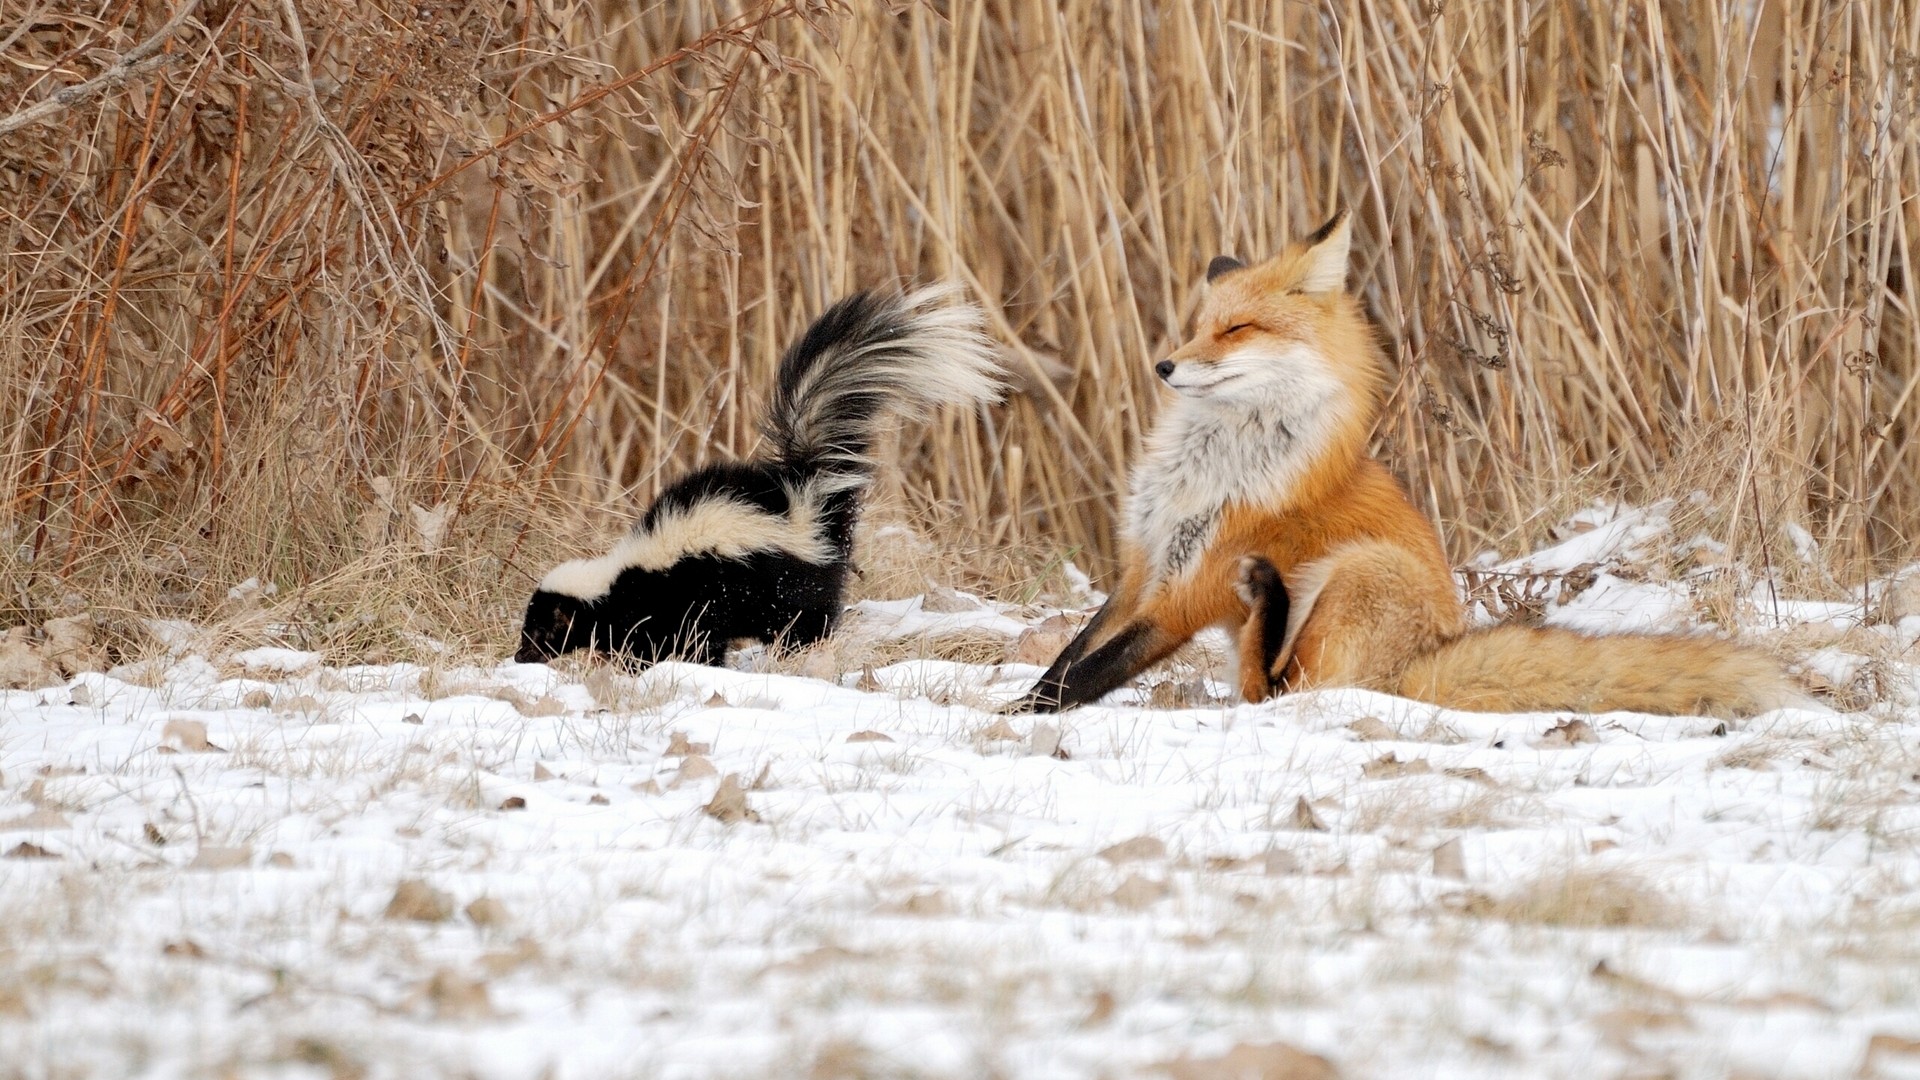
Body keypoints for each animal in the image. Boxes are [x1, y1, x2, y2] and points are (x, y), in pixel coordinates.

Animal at [518, 284, 1006, 664]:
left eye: (542, 630)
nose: (521, 655)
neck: (619, 578)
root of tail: (805, 495)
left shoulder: (682, 598)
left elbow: (689, 641)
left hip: (787, 583)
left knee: (806, 619)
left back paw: (800, 650)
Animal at [1013, 209, 1804, 714]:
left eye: (1236, 330)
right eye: (1199, 326)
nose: (1165, 365)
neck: (1208, 468)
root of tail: (1420, 666)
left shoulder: (1188, 591)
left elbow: (1086, 675)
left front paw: (1019, 720)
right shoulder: (1142, 568)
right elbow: (1071, 655)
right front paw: (1018, 704)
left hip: (1361, 572)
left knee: (1282, 693)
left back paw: (1271, 598)